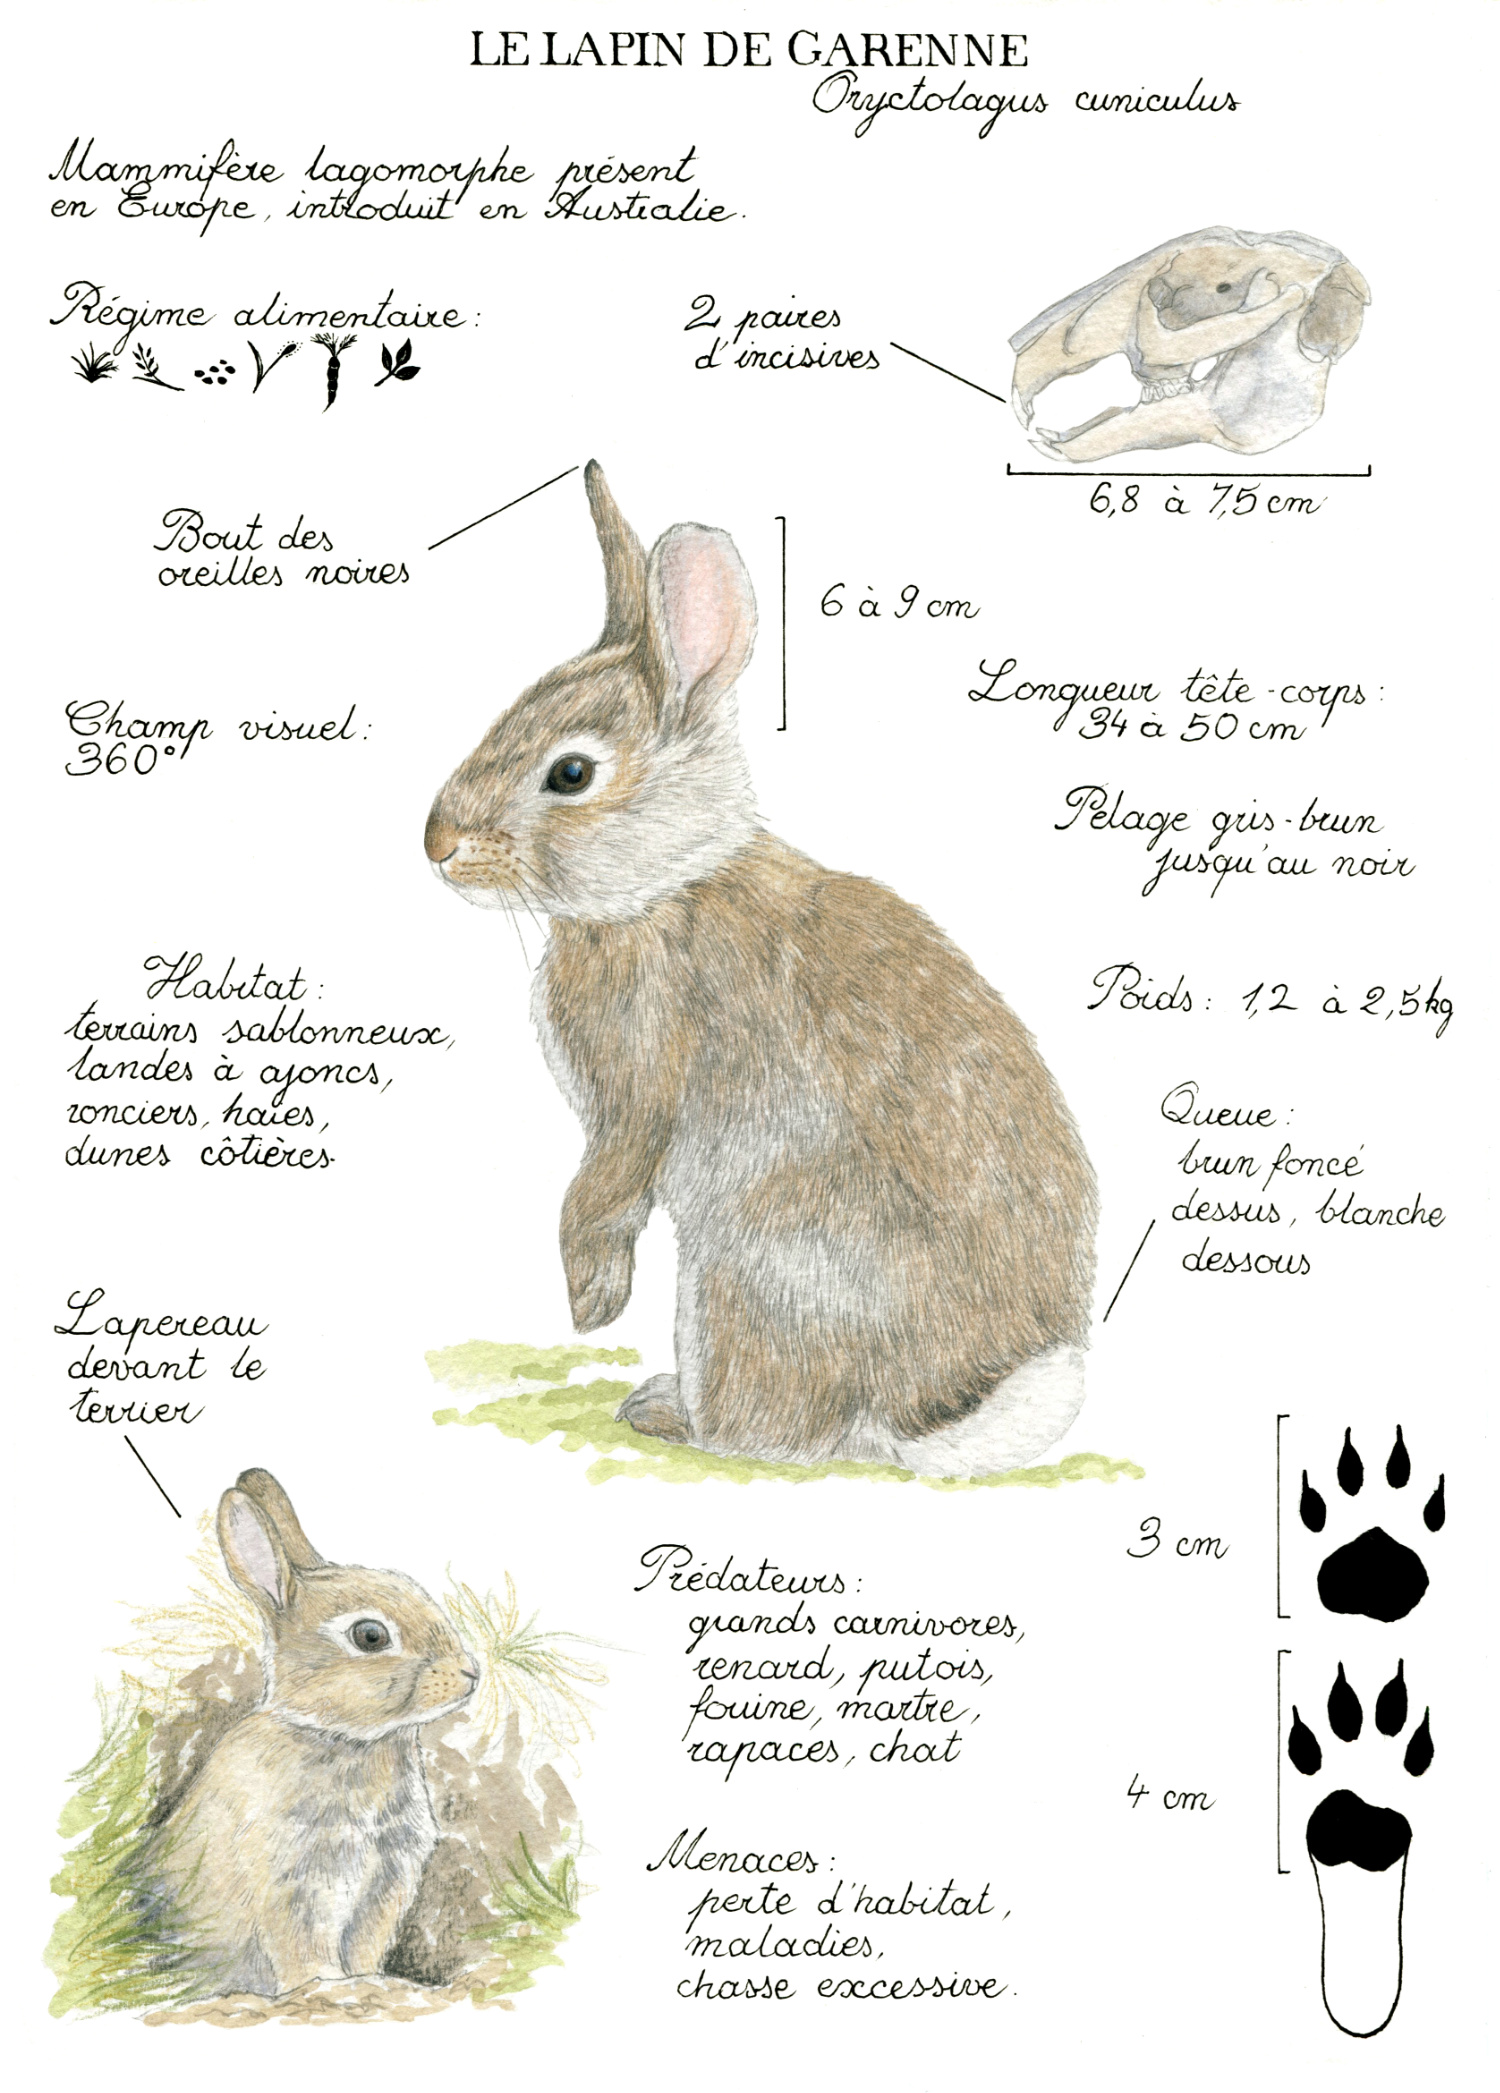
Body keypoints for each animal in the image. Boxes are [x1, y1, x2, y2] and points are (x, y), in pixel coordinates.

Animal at [155, 1469, 478, 1997]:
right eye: (370, 1636)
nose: (471, 1672)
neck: (342, 1738)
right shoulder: (292, 1884)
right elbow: (302, 1950)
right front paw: (322, 1987)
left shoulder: (385, 1886)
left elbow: (364, 1947)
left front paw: (369, 1981)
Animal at [425, 464, 1096, 1476]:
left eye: (571, 773)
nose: (437, 844)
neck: (663, 885)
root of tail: (923, 1417)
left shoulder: (639, 1081)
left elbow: (603, 1187)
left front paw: (590, 1301)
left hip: (744, 1277)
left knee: (774, 1431)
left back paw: (667, 1412)